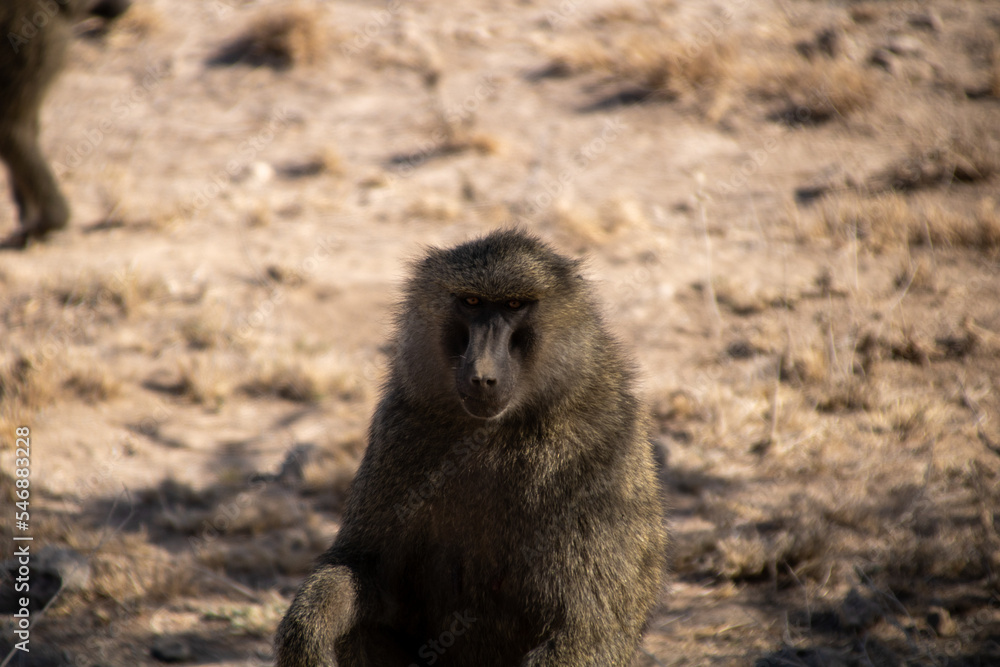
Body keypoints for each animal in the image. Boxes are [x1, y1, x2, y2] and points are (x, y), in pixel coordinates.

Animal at [275, 229, 668, 666]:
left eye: (514, 305)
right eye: (472, 302)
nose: (482, 376)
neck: (493, 432)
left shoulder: (603, 445)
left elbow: (590, 627)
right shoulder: (400, 428)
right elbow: (363, 568)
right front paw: (306, 635)